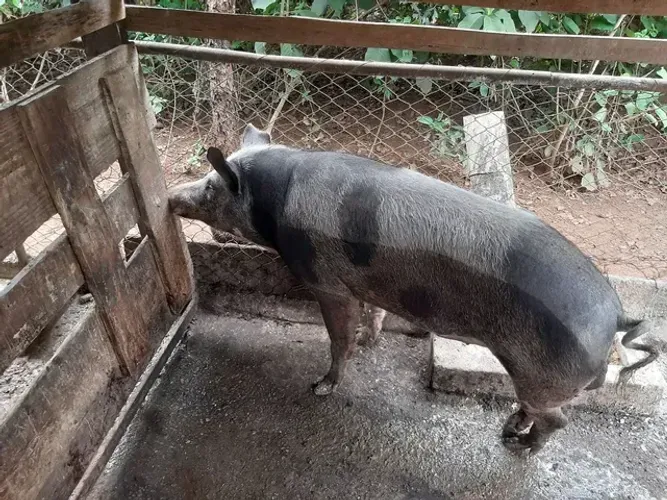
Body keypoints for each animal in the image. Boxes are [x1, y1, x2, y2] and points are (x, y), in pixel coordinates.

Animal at [168, 123, 658, 454]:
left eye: (211, 188)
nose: (170, 197)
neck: (277, 203)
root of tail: (615, 314)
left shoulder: (325, 280)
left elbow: (337, 338)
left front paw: (321, 388)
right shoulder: (362, 282)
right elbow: (374, 314)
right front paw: (370, 342)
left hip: (543, 374)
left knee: (557, 421)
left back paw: (516, 446)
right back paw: (509, 430)